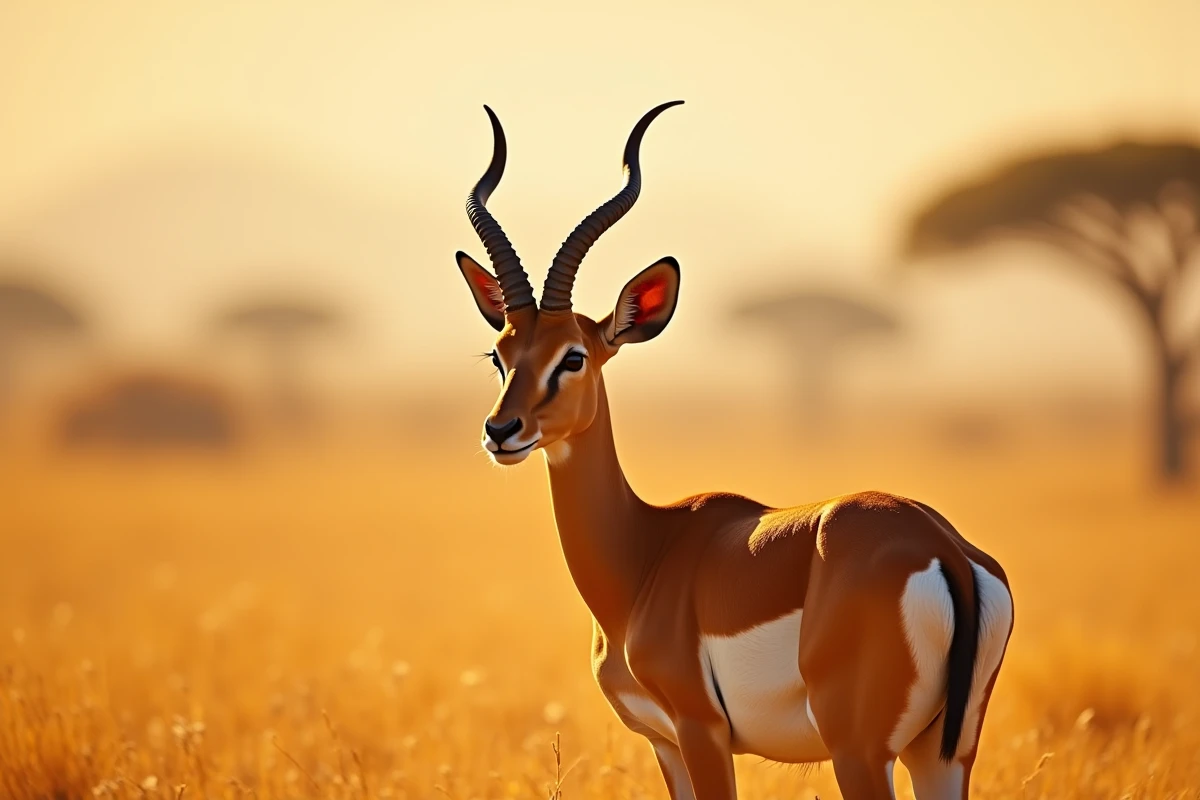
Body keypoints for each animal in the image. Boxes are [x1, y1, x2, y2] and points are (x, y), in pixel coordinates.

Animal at [452, 101, 1014, 800]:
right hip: (940, 755)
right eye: (499, 354)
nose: (502, 430)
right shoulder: (664, 743)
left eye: (573, 357)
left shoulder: (700, 730)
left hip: (860, 752)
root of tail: (944, 550)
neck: (646, 555)